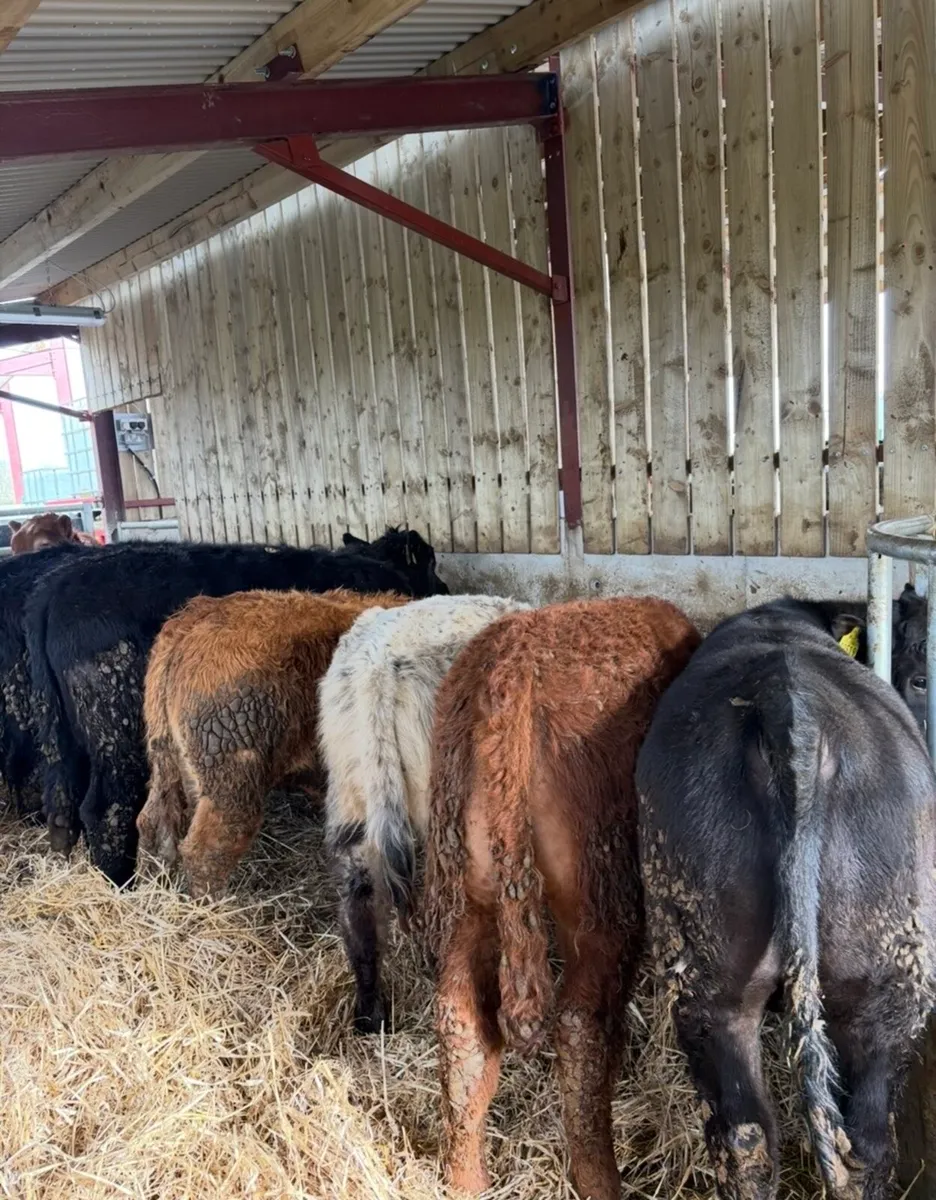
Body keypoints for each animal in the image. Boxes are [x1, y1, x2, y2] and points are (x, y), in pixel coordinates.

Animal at [421, 597, 701, 1200]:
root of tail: (513, 665)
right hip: (599, 898)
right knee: (580, 1026)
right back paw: (602, 1178)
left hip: (468, 891)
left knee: (461, 1024)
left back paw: (466, 1179)